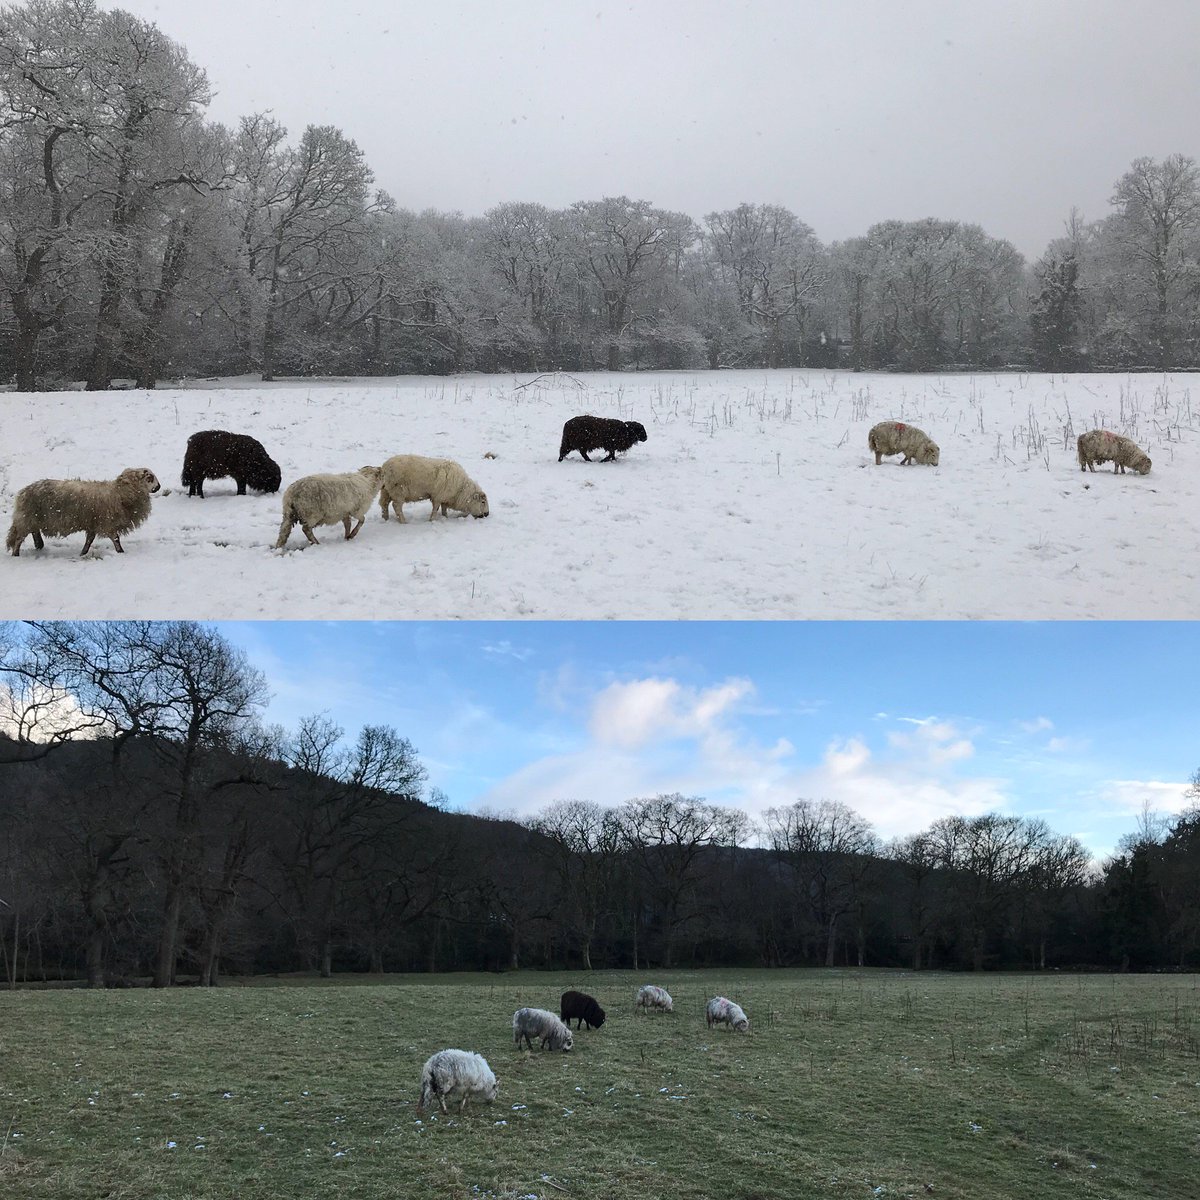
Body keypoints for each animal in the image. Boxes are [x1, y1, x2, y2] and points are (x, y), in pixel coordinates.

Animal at [5, 468, 162, 561]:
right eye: (149, 478)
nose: (158, 487)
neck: (120, 493)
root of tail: (23, 492)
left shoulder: (93, 523)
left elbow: (89, 540)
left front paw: (83, 553)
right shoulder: (107, 523)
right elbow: (115, 538)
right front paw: (121, 552)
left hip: (33, 518)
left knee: (33, 531)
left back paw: (39, 545)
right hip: (27, 518)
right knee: (19, 539)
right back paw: (16, 555)